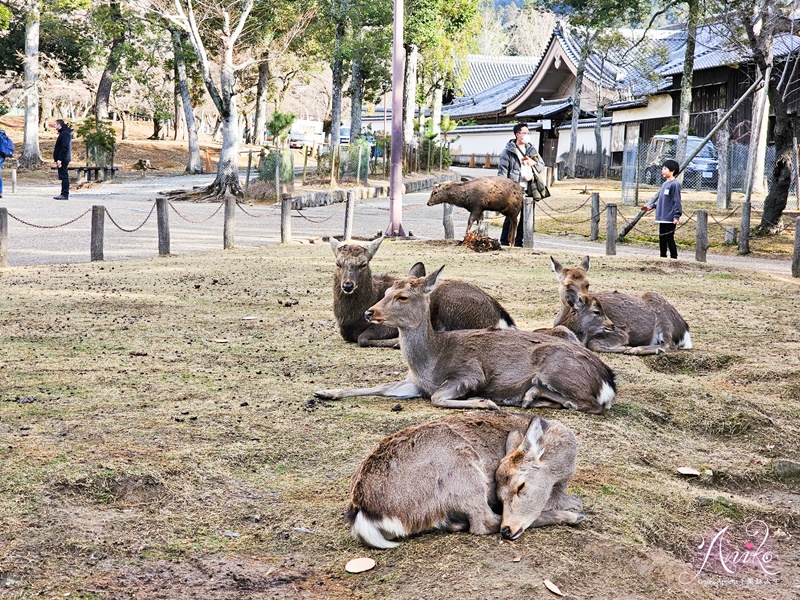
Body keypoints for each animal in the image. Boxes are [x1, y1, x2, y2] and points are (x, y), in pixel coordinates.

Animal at [316, 268, 616, 412]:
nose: (370, 312)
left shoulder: (471, 373)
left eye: (402, 296)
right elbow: (380, 387)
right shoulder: (414, 384)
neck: (429, 363)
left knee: (590, 405)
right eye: (387, 291)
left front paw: (485, 403)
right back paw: (530, 397)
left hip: (557, 369)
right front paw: (325, 392)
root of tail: (608, 380)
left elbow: (437, 397)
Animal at [330, 234, 512, 346]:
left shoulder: (389, 325)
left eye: (363, 264)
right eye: (338, 263)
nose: (347, 285)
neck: (350, 320)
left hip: (452, 305)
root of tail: (503, 317)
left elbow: (362, 338)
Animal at [346, 412, 584, 548]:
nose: (508, 530)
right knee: (484, 522)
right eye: (501, 495)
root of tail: (362, 512)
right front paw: (575, 511)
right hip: (465, 472)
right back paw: (573, 517)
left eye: (520, 486)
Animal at [552, 255, 692, 354]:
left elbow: (593, 344)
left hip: (664, 319)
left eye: (587, 284)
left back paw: (637, 349)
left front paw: (626, 347)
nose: (583, 299)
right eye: (567, 284)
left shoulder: (620, 332)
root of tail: (684, 328)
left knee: (669, 345)